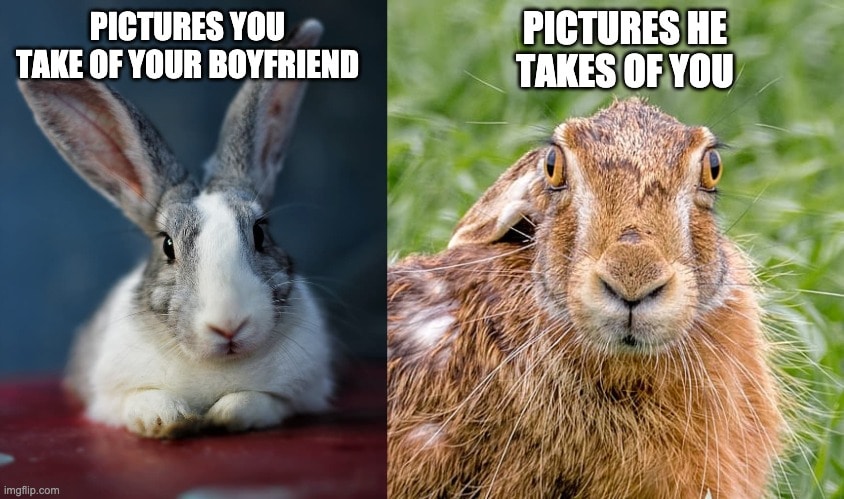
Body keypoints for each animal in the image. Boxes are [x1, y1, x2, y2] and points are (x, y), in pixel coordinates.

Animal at [18, 19, 333, 439]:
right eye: (167, 246)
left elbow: (256, 401)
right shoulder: (109, 398)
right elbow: (143, 401)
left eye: (260, 233)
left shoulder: (297, 395)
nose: (229, 325)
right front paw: (170, 420)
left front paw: (223, 414)